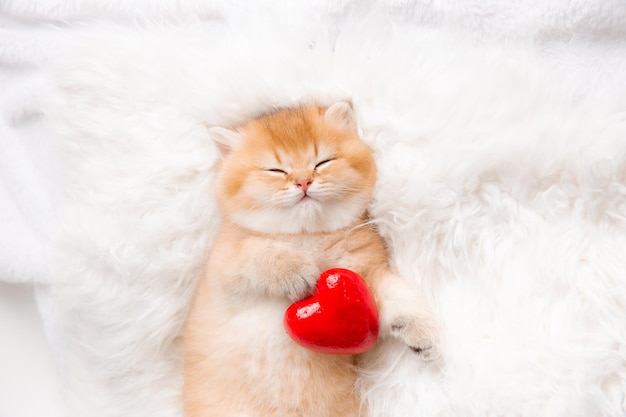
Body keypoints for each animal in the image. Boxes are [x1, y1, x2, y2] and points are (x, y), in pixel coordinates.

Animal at [183, 101, 438, 416]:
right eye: (276, 170)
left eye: (323, 162)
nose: (304, 181)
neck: (309, 235)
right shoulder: (225, 268)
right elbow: (260, 252)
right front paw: (296, 271)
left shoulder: (366, 277)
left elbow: (398, 295)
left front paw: (422, 333)